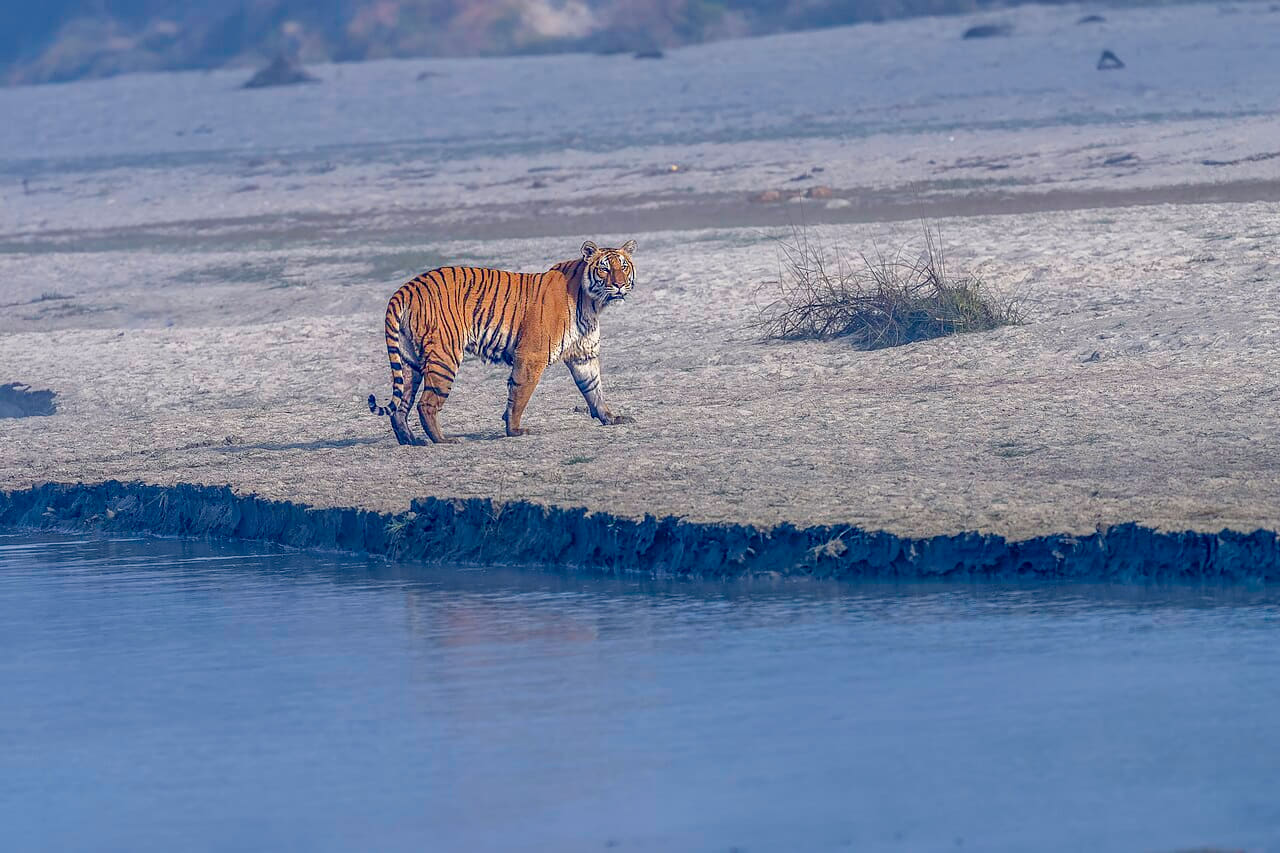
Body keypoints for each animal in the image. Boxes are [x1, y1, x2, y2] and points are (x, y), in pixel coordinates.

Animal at [367, 239, 637, 445]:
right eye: (604, 269)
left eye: (623, 266)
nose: (619, 284)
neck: (593, 303)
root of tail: (407, 287)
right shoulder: (531, 356)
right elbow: (519, 395)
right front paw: (514, 430)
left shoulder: (583, 356)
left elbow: (594, 389)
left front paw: (611, 418)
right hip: (444, 357)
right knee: (426, 404)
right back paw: (443, 440)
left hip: (408, 361)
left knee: (400, 408)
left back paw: (411, 441)